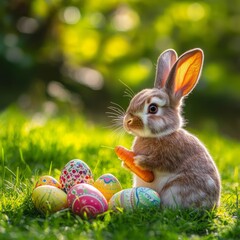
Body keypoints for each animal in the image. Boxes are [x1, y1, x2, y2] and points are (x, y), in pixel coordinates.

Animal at [122, 48, 221, 208]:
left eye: (153, 108)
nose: (127, 122)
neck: (161, 134)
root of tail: (213, 205)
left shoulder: (171, 156)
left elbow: (159, 162)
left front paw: (138, 161)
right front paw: (125, 163)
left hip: (176, 188)